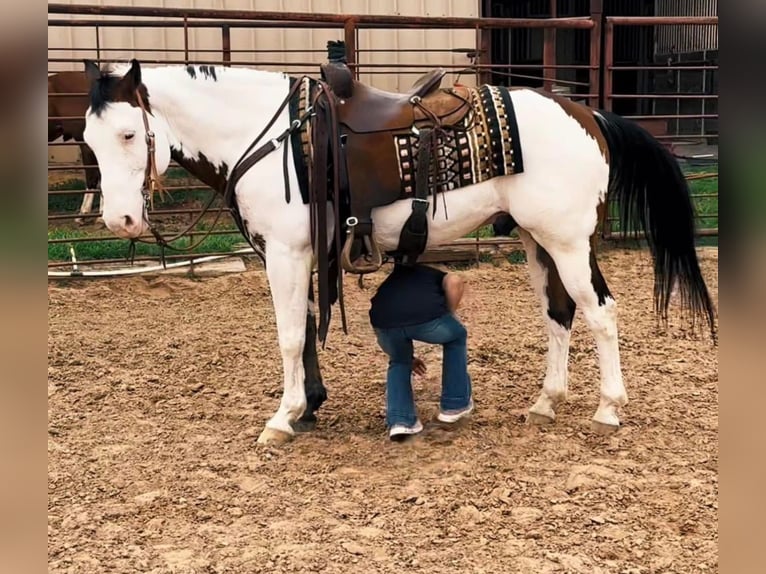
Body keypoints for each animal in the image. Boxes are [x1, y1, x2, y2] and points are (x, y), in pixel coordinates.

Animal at [81, 60, 716, 448]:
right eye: (89, 141)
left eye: (130, 135)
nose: (120, 220)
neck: (274, 140)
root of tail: (586, 113)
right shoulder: (300, 255)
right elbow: (305, 329)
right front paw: (309, 406)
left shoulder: (286, 253)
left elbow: (288, 334)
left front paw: (283, 419)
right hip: (539, 242)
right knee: (558, 314)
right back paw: (545, 402)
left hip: (569, 242)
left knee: (601, 313)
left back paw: (609, 407)